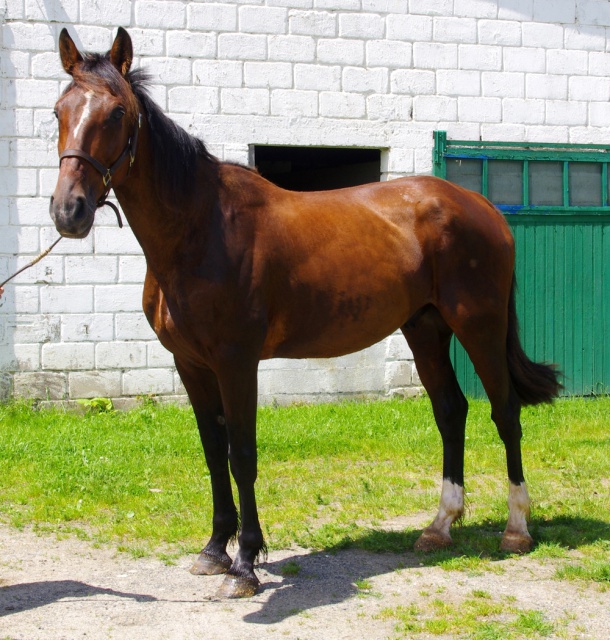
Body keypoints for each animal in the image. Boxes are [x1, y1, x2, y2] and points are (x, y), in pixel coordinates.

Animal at [50, 28, 560, 600]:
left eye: (117, 112)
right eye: (58, 111)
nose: (68, 211)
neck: (200, 228)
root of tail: (483, 207)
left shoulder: (236, 362)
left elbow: (242, 456)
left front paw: (245, 564)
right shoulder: (191, 364)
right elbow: (212, 453)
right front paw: (214, 550)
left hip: (479, 325)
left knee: (506, 412)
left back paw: (517, 529)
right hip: (424, 328)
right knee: (451, 411)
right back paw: (439, 526)